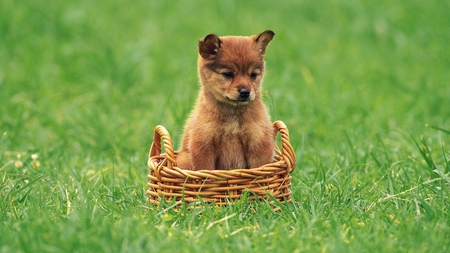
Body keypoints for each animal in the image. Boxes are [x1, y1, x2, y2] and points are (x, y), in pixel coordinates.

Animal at [177, 30, 276, 171]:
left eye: (253, 75)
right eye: (228, 74)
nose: (245, 92)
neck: (232, 115)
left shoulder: (258, 143)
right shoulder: (203, 145)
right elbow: (205, 169)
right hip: (184, 159)